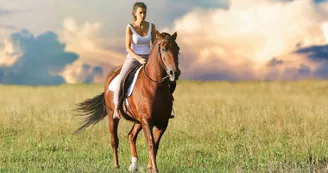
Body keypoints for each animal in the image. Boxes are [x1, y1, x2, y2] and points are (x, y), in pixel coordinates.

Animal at [73, 31, 181, 172]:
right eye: (163, 49)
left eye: (178, 49)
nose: (175, 73)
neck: (156, 86)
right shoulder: (147, 121)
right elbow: (151, 144)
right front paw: (154, 169)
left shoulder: (163, 122)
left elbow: (156, 144)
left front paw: (150, 168)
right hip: (113, 116)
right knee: (114, 140)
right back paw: (116, 165)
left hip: (138, 121)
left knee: (131, 136)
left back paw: (133, 165)